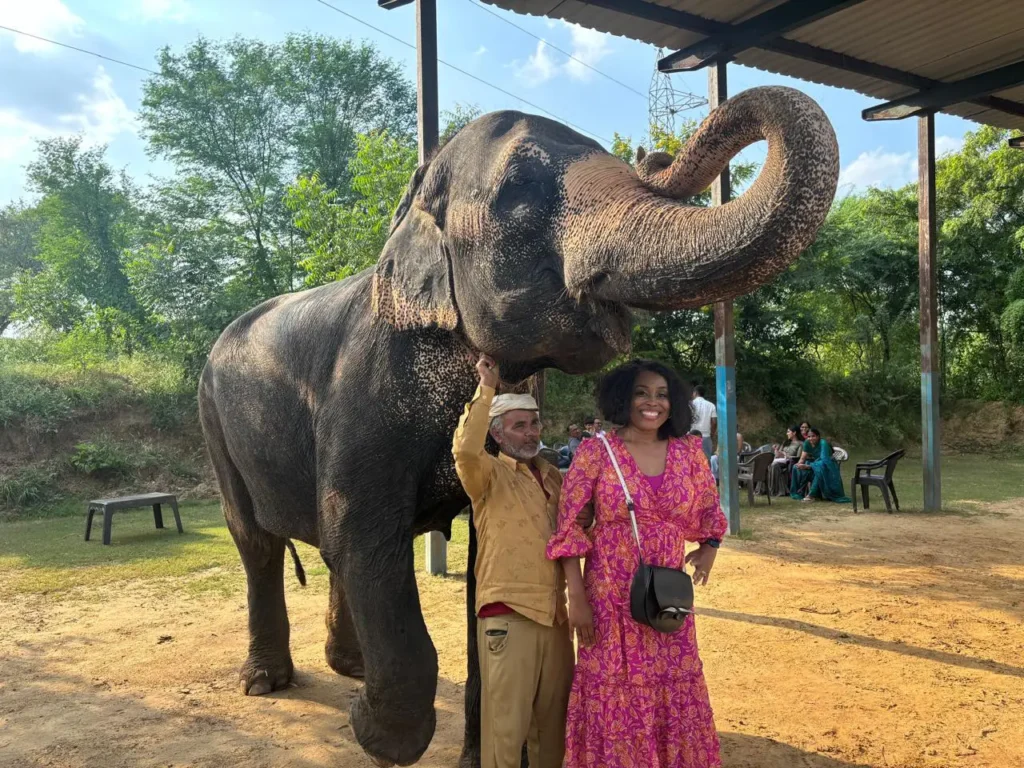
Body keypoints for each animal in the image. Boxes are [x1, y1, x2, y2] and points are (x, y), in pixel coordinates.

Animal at [198, 85, 838, 767]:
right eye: (521, 188)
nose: (655, 153)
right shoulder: (363, 388)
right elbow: (364, 537)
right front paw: (374, 734)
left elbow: (470, 569)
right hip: (212, 420)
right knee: (257, 542)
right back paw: (266, 682)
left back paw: (350, 670)